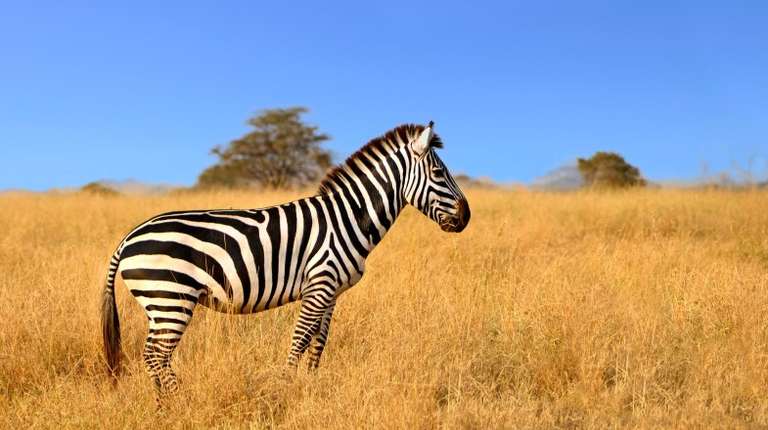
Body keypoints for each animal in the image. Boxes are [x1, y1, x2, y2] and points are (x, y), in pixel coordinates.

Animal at [101, 122, 470, 400]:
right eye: (438, 172)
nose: (466, 217)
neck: (348, 217)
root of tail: (128, 238)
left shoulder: (331, 292)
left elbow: (319, 342)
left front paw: (311, 386)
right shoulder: (320, 283)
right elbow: (301, 338)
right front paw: (286, 388)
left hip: (161, 302)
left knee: (154, 356)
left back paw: (163, 404)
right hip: (170, 298)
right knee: (156, 354)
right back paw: (181, 400)